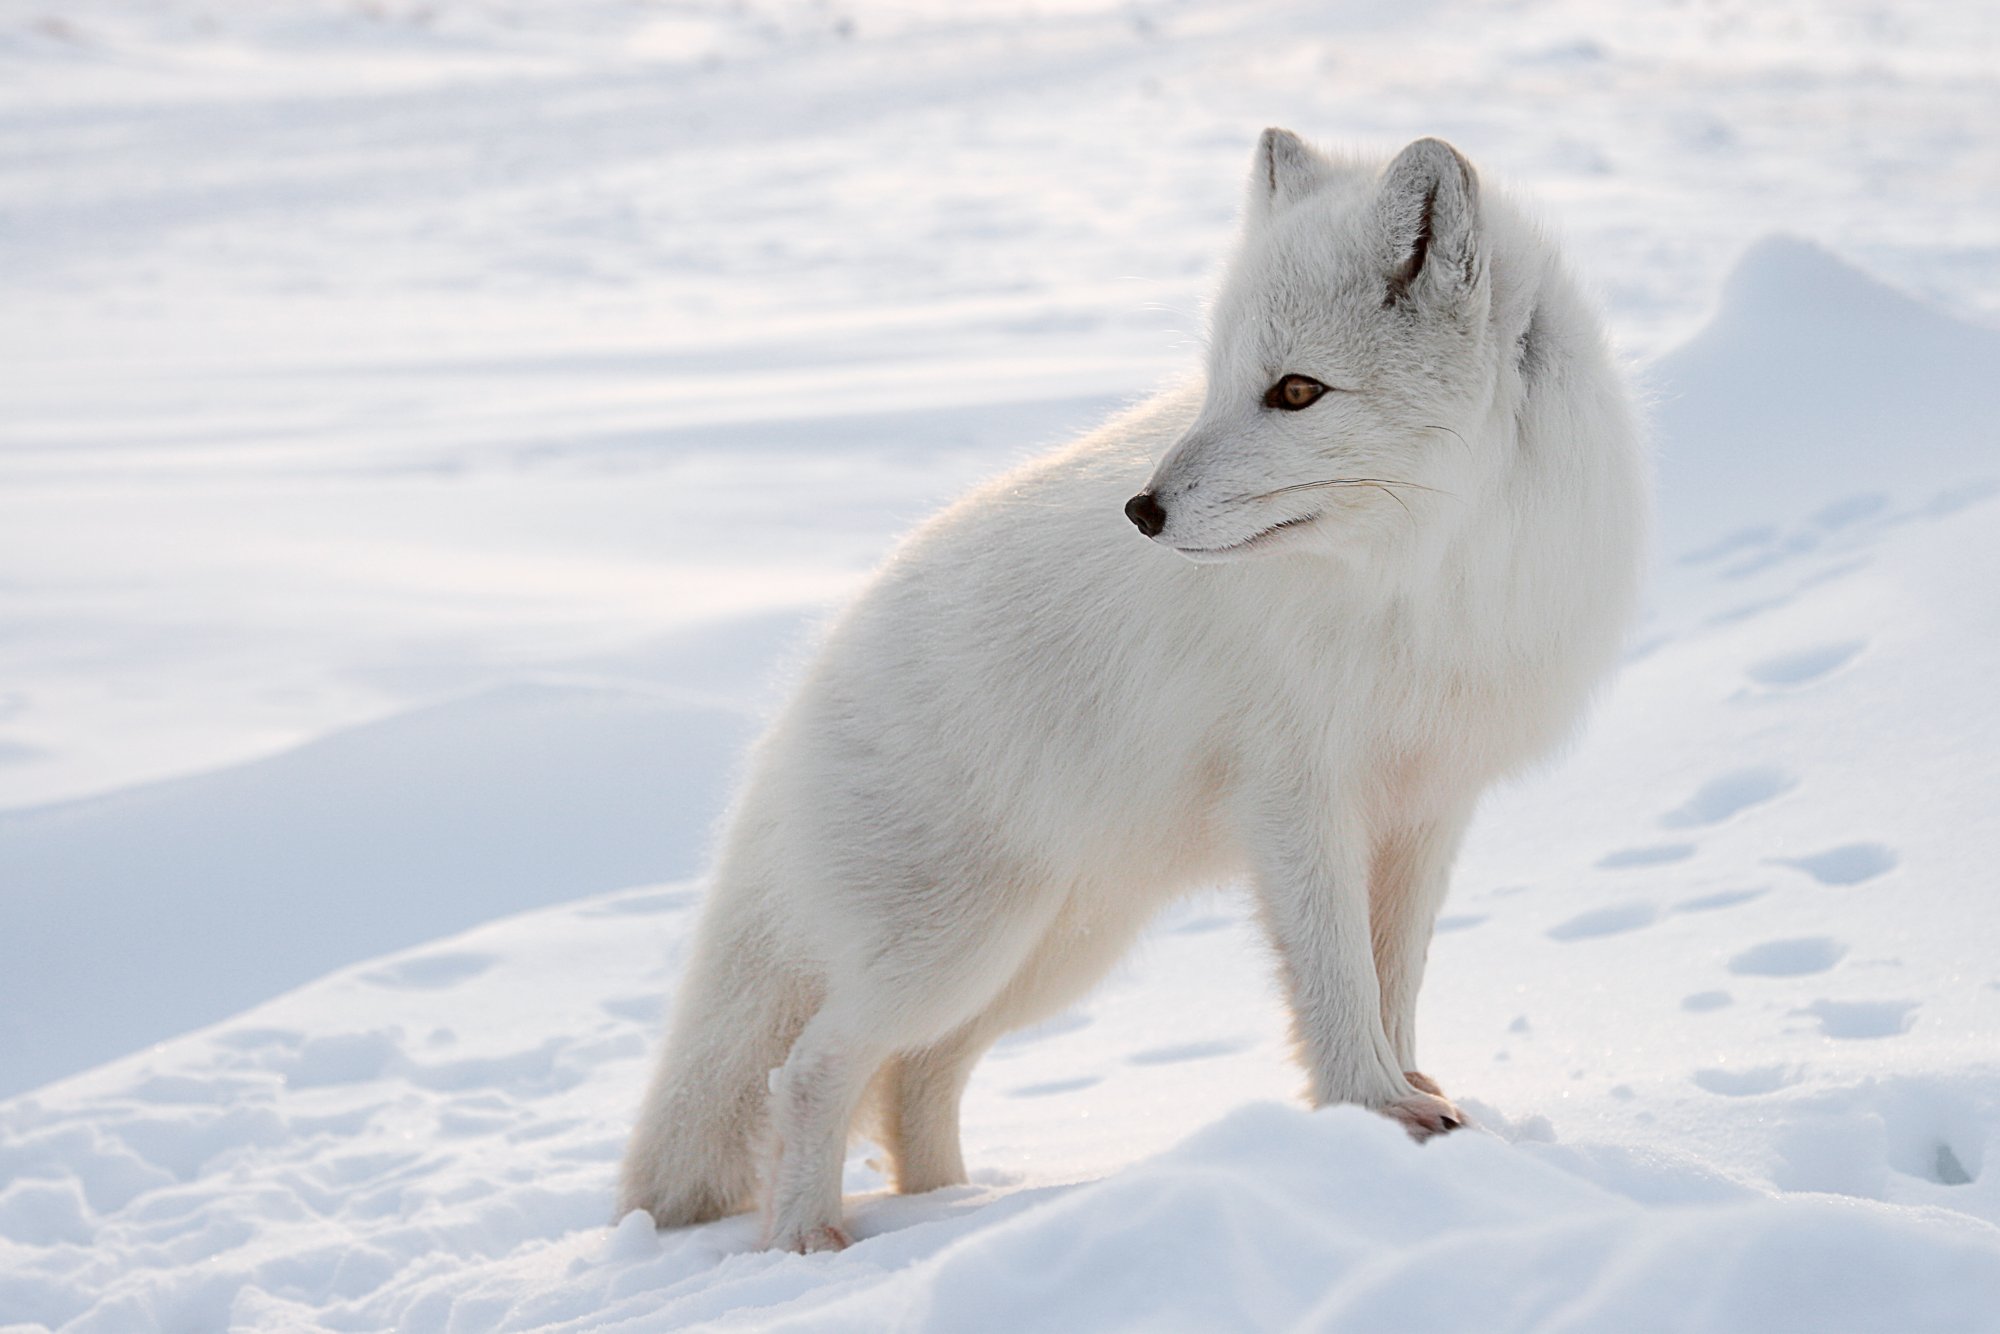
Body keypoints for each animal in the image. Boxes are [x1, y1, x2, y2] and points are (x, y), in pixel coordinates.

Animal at [620, 130, 1640, 1248]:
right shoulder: (1296, 803)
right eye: (1215, 379)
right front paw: (1373, 1113)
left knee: (912, 1080)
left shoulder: (1424, 806)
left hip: (1052, 952)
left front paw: (1413, 1100)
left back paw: (950, 1207)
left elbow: (1392, 974)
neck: (1421, 581)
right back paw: (811, 1241)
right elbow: (1336, 981)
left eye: (1295, 391)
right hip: (958, 950)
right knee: (810, 1069)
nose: (1141, 510)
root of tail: (802, 695)